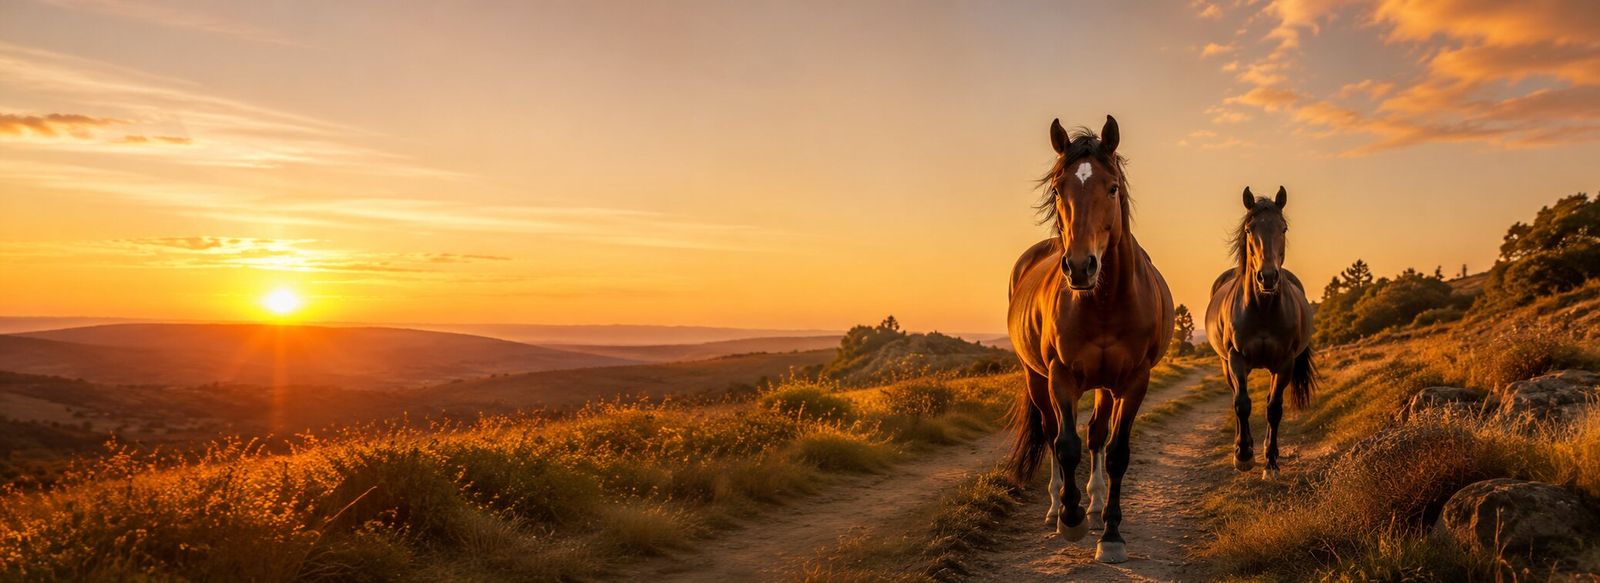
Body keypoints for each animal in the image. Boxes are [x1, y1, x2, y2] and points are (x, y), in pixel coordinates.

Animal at [1005, 115, 1175, 564]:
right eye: (1057, 188)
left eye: (1112, 187)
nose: (1080, 267)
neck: (1104, 303)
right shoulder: (1060, 377)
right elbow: (1066, 445)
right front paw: (1071, 518)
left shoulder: (1133, 381)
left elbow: (1116, 452)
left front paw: (1111, 534)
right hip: (1036, 378)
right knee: (1051, 433)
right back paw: (1056, 507)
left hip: (1105, 385)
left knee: (1098, 434)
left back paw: (1097, 504)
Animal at [1205, 186, 1318, 480]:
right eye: (1249, 229)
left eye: (1283, 228)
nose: (1267, 277)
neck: (1263, 309)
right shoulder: (1236, 358)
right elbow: (1242, 404)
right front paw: (1244, 456)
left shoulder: (1285, 362)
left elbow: (1274, 408)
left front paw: (1271, 464)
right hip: (1226, 364)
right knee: (1235, 397)